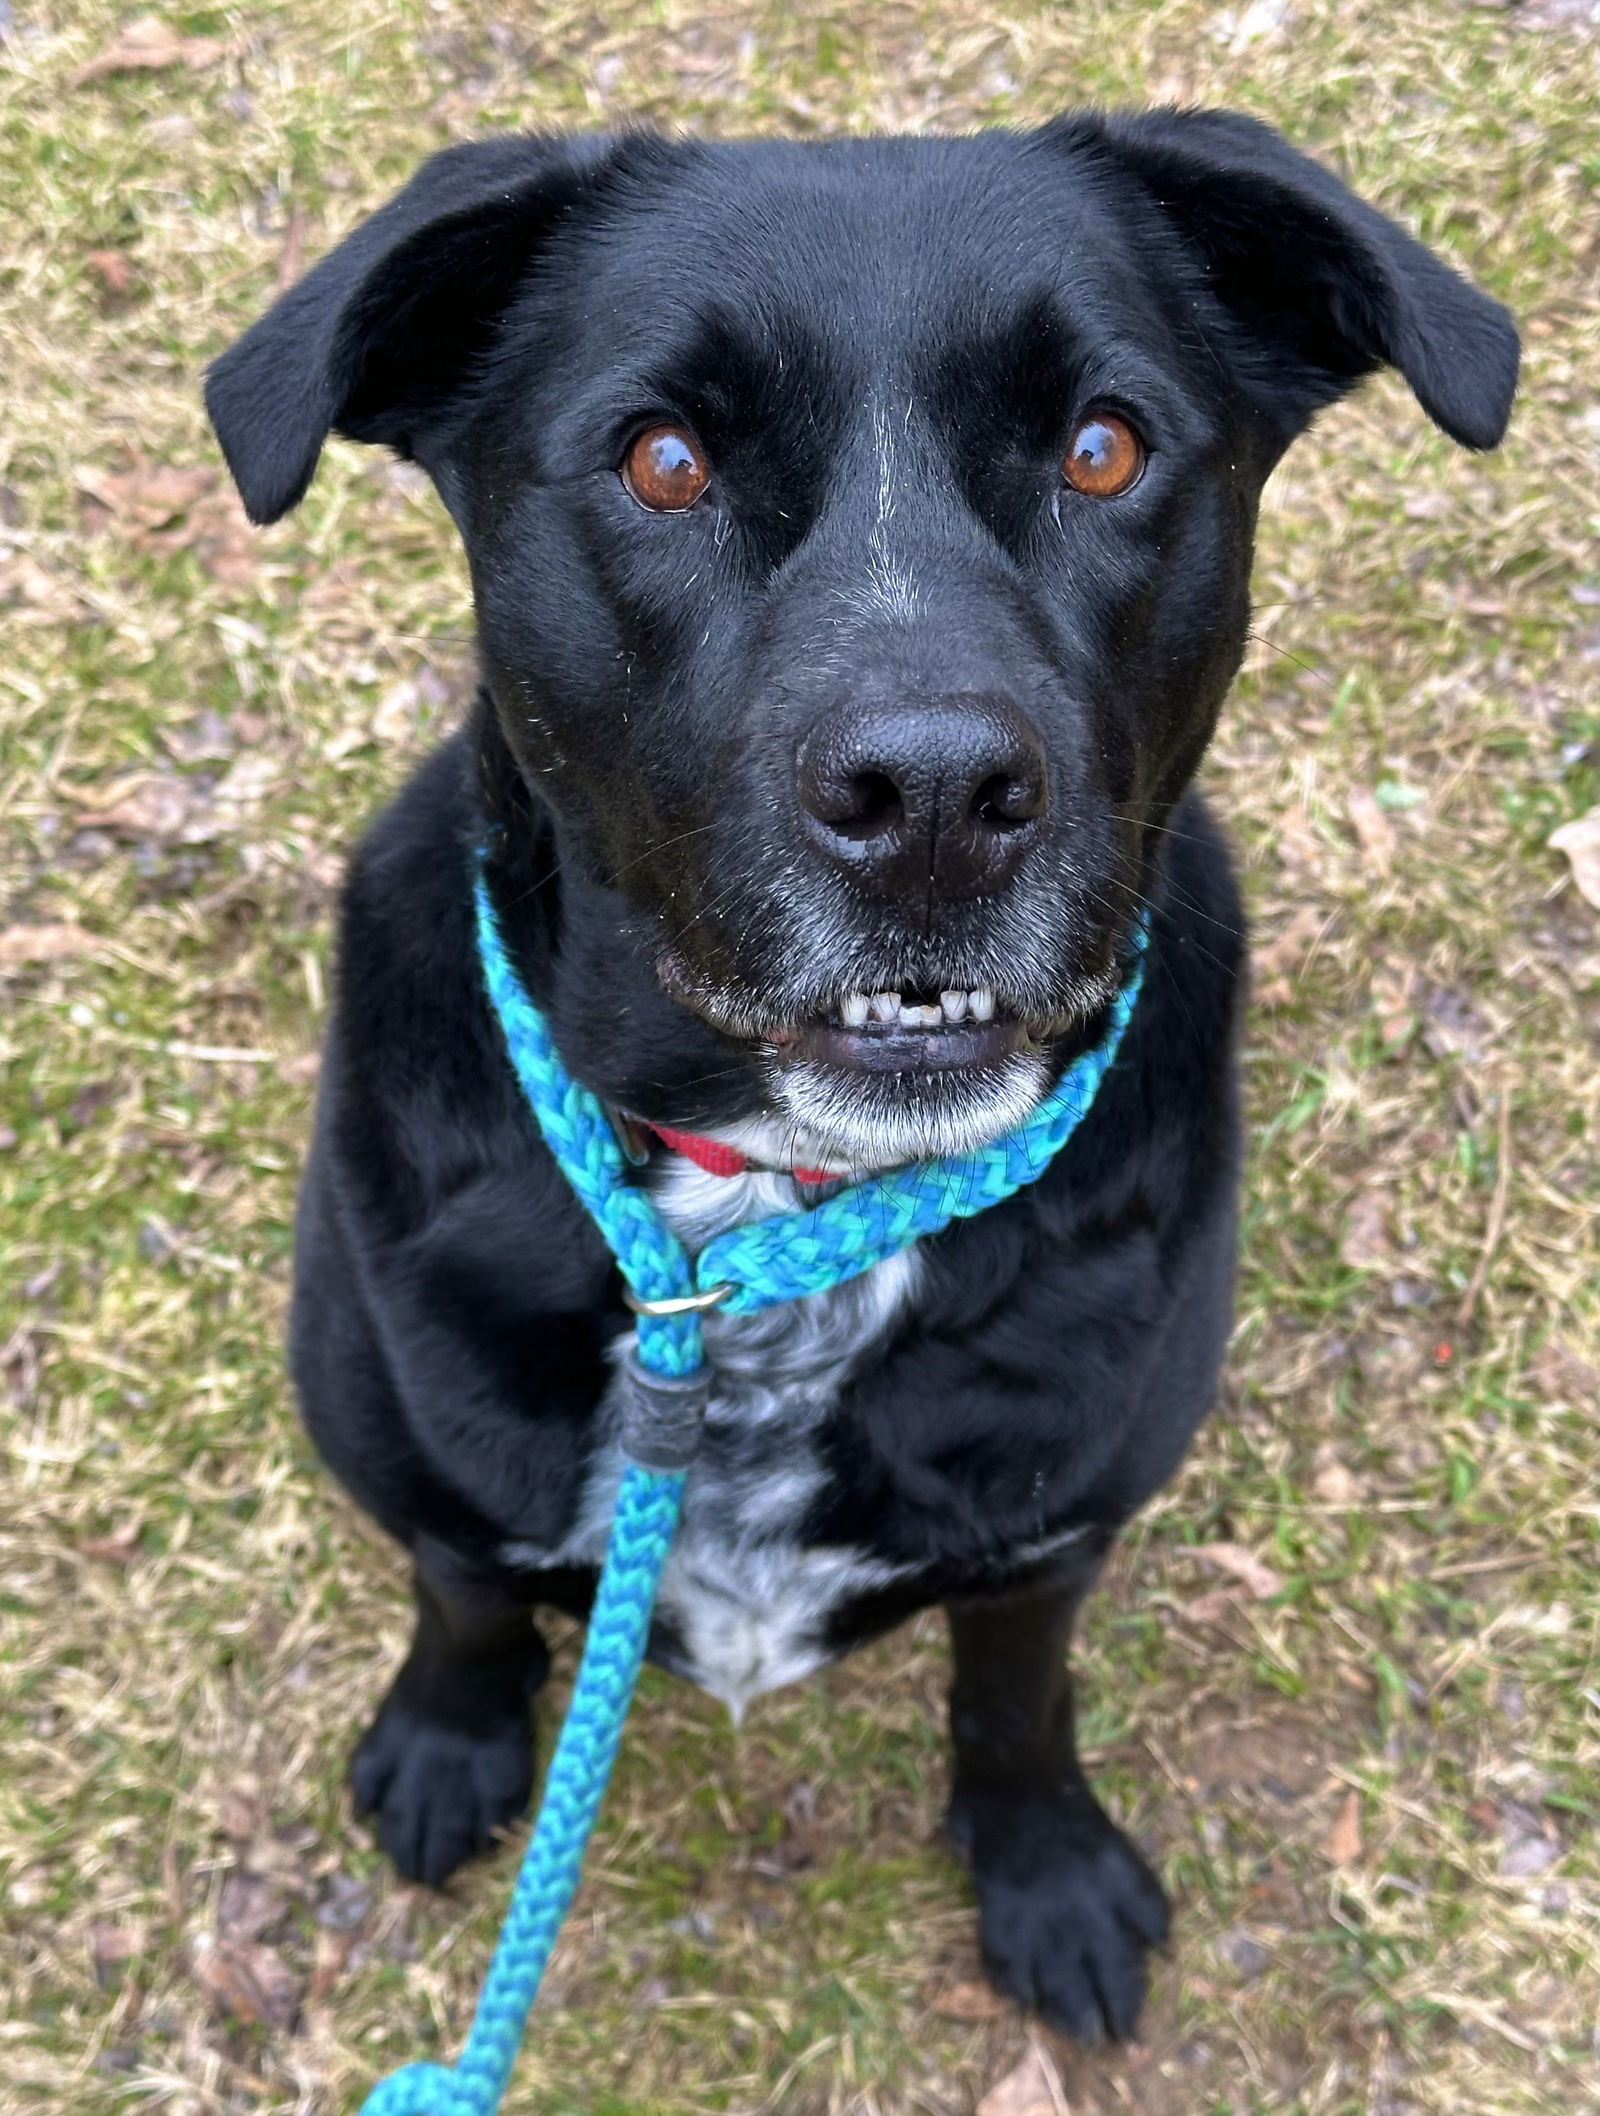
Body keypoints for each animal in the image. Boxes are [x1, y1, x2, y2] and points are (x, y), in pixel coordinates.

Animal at [203, 107, 1515, 2039]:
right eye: (666, 461)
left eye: (1104, 447)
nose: (935, 799)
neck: (774, 1216)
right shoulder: (416, 1447)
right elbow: (461, 1585)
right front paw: (450, 1738)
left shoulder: (1054, 1530)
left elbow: (1016, 1694)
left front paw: (1045, 1870)